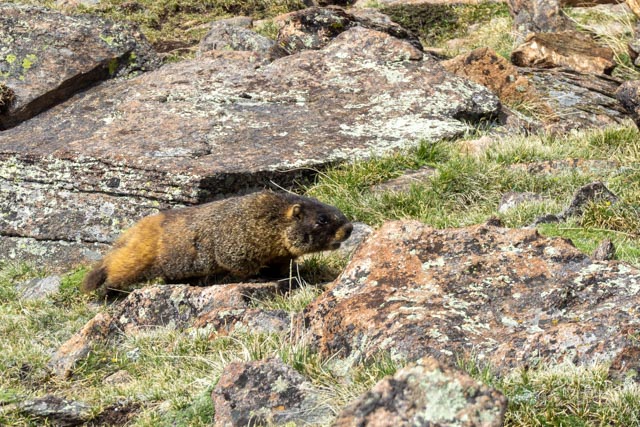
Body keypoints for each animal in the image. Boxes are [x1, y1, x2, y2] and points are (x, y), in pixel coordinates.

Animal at [81, 191, 353, 295]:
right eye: (321, 219)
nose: (350, 228)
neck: (274, 219)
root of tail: (133, 230)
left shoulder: (279, 251)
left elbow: (282, 263)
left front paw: (294, 271)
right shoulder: (242, 235)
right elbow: (235, 259)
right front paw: (255, 277)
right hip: (137, 256)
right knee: (118, 268)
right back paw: (107, 290)